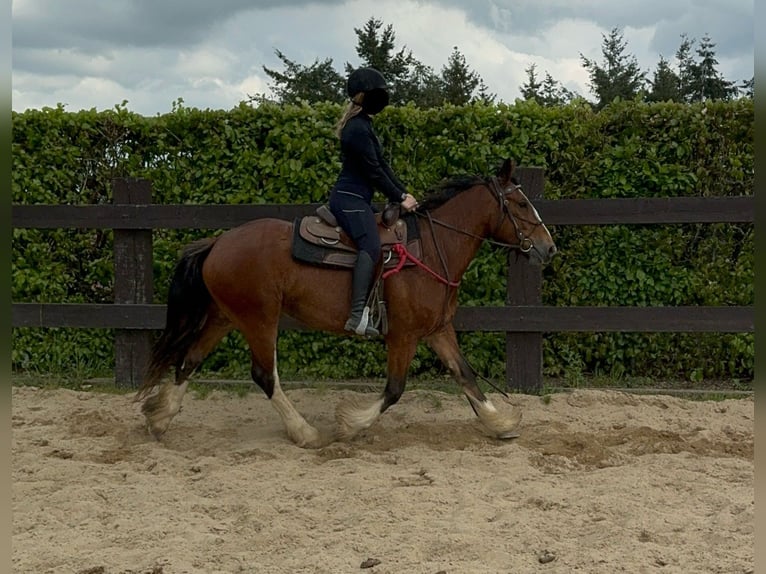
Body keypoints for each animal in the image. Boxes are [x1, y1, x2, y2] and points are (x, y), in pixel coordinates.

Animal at [135, 159, 560, 450]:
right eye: (522, 205)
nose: (548, 247)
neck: (432, 248)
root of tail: (218, 242)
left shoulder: (438, 330)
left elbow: (466, 376)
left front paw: (500, 424)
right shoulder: (403, 336)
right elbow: (394, 389)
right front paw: (351, 425)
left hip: (225, 316)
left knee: (188, 360)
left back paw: (160, 419)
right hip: (259, 319)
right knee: (264, 375)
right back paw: (305, 433)